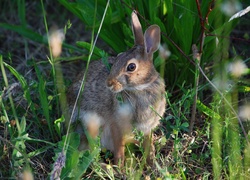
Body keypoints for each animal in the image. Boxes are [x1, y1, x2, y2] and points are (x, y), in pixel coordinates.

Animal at [66, 11, 166, 166]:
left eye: (131, 67)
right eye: (118, 57)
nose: (109, 83)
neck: (140, 88)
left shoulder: (147, 127)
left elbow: (147, 145)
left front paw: (151, 162)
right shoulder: (116, 124)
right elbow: (119, 147)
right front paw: (120, 165)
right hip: (89, 125)